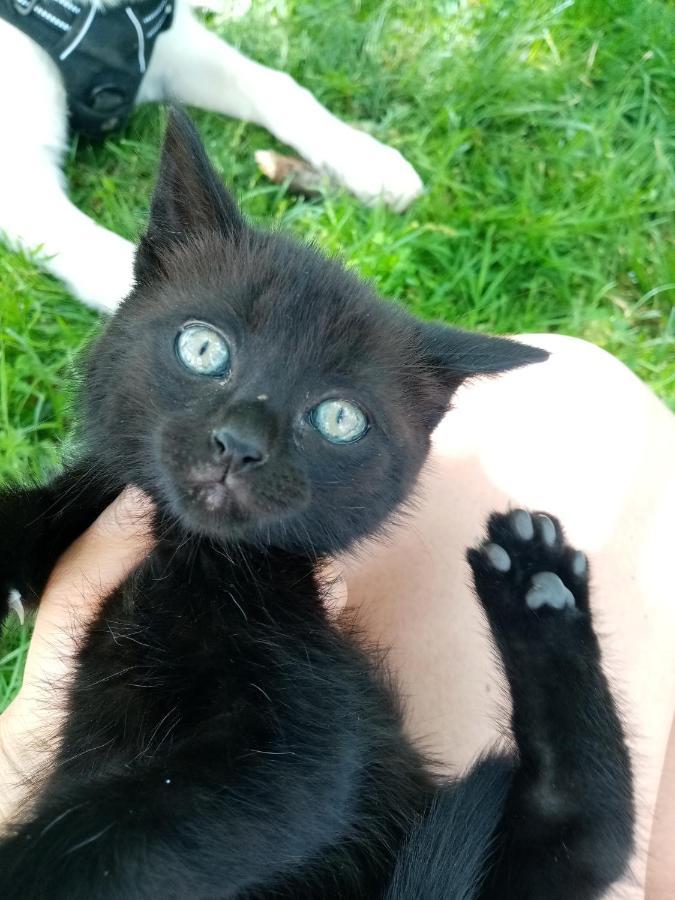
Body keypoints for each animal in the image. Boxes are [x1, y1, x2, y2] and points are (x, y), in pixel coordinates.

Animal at [1, 112, 632, 900]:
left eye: (337, 418)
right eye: (203, 348)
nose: (239, 444)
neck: (187, 553)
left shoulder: (307, 744)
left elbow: (123, 837)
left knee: (586, 826)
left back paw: (537, 584)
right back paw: (535, 584)